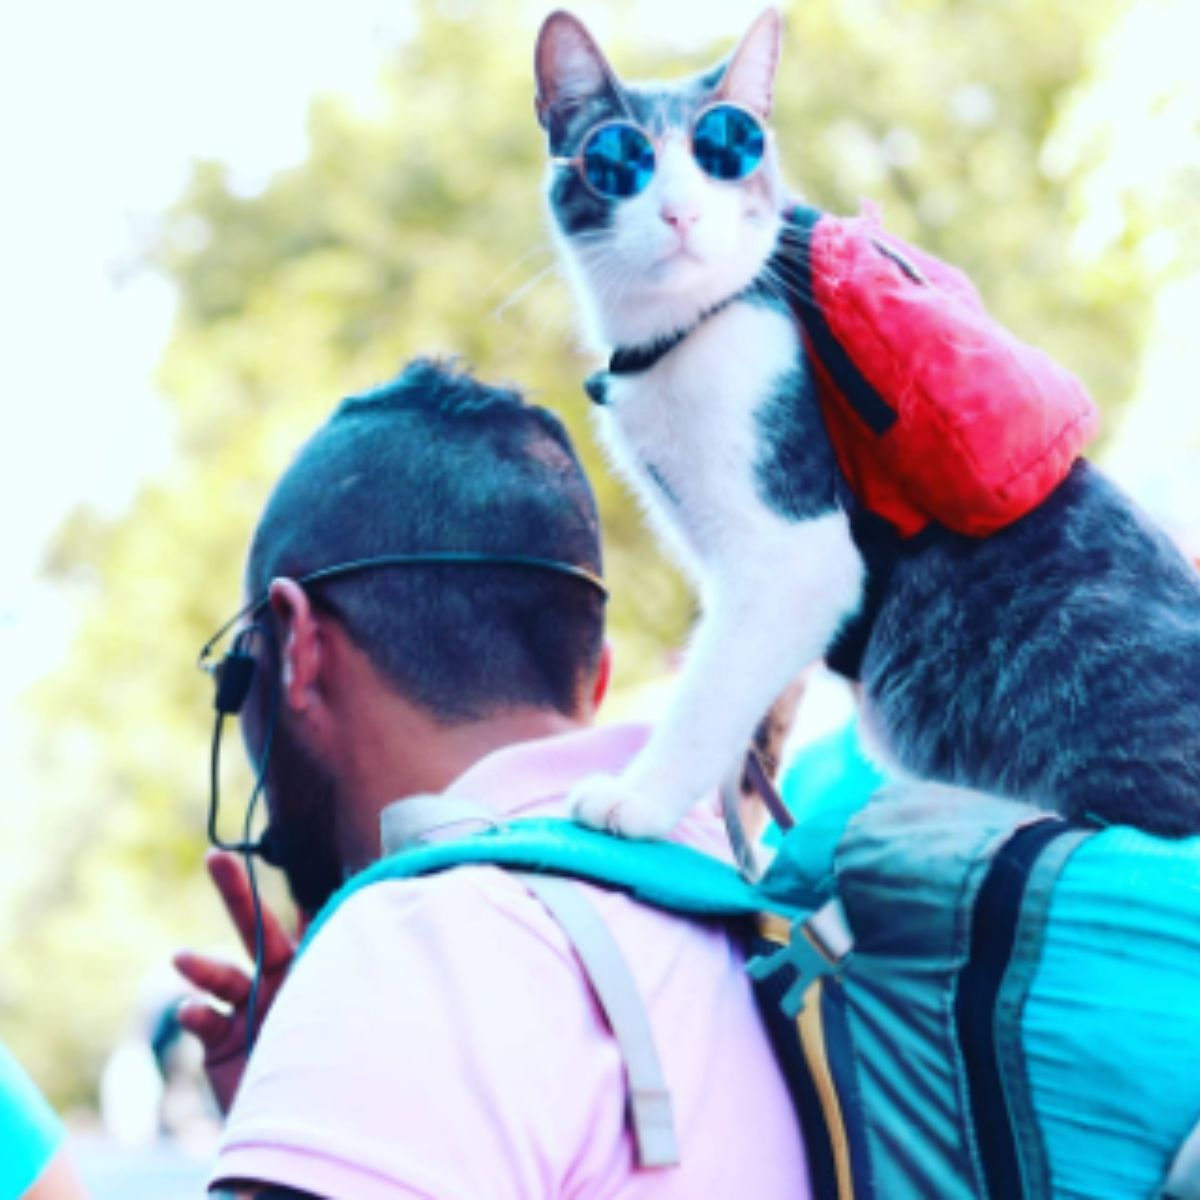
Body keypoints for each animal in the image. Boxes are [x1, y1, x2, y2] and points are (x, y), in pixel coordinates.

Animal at [535, 7, 1200, 835]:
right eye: (619, 160)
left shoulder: (795, 552)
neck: (681, 330)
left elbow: (707, 697)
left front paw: (641, 797)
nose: (679, 211)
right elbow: (751, 729)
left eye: (725, 150)